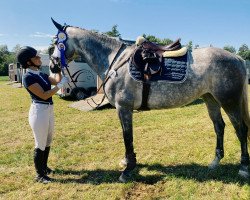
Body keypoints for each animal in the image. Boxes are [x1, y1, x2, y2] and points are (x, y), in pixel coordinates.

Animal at [49, 19, 249, 182]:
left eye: (57, 43)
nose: (52, 66)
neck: (115, 60)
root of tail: (237, 58)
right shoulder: (122, 109)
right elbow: (126, 136)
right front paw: (127, 162)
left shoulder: (124, 108)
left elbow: (127, 136)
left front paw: (128, 170)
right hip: (211, 99)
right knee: (219, 127)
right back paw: (215, 162)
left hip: (229, 101)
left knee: (240, 129)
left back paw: (244, 168)